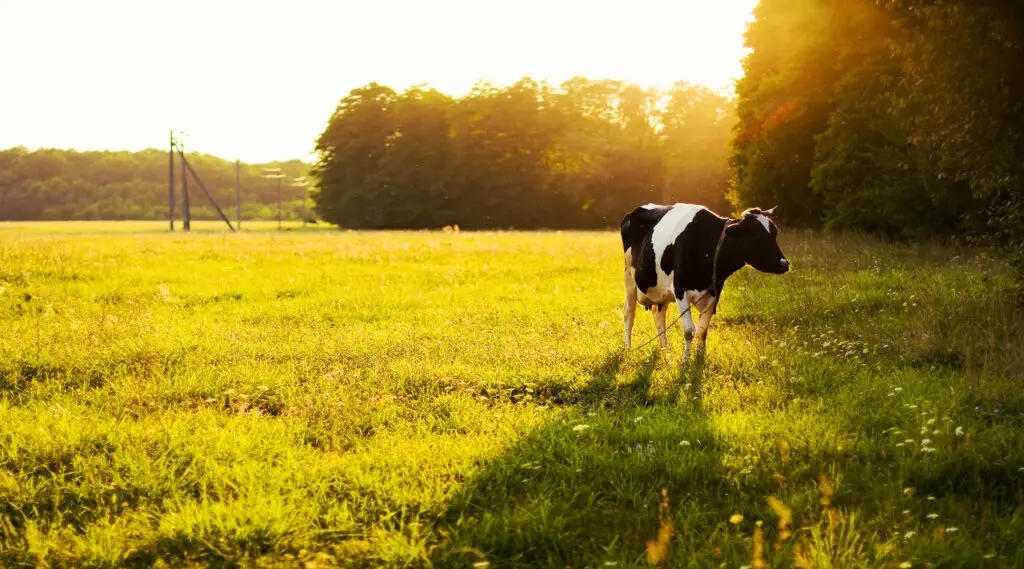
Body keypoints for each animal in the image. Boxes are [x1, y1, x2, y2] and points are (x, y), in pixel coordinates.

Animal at [614, 204, 790, 362]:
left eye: (774, 233)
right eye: (756, 236)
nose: (784, 264)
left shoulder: (714, 292)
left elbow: (702, 330)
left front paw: (699, 361)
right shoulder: (680, 289)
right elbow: (688, 330)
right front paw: (685, 364)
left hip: (660, 291)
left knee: (659, 318)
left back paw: (666, 352)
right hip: (628, 277)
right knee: (629, 314)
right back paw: (628, 349)